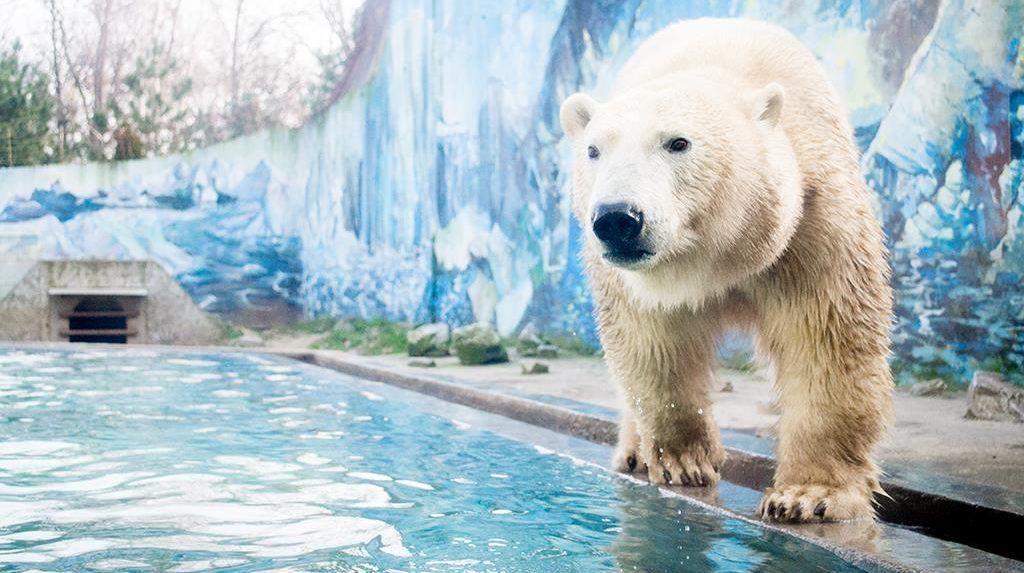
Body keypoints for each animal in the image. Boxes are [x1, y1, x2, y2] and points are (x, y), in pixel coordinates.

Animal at [561, 17, 888, 521]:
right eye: (594, 150)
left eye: (678, 142)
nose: (617, 219)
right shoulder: (631, 279)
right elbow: (653, 344)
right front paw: (686, 461)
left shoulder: (813, 225)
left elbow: (826, 342)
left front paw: (809, 495)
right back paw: (634, 453)